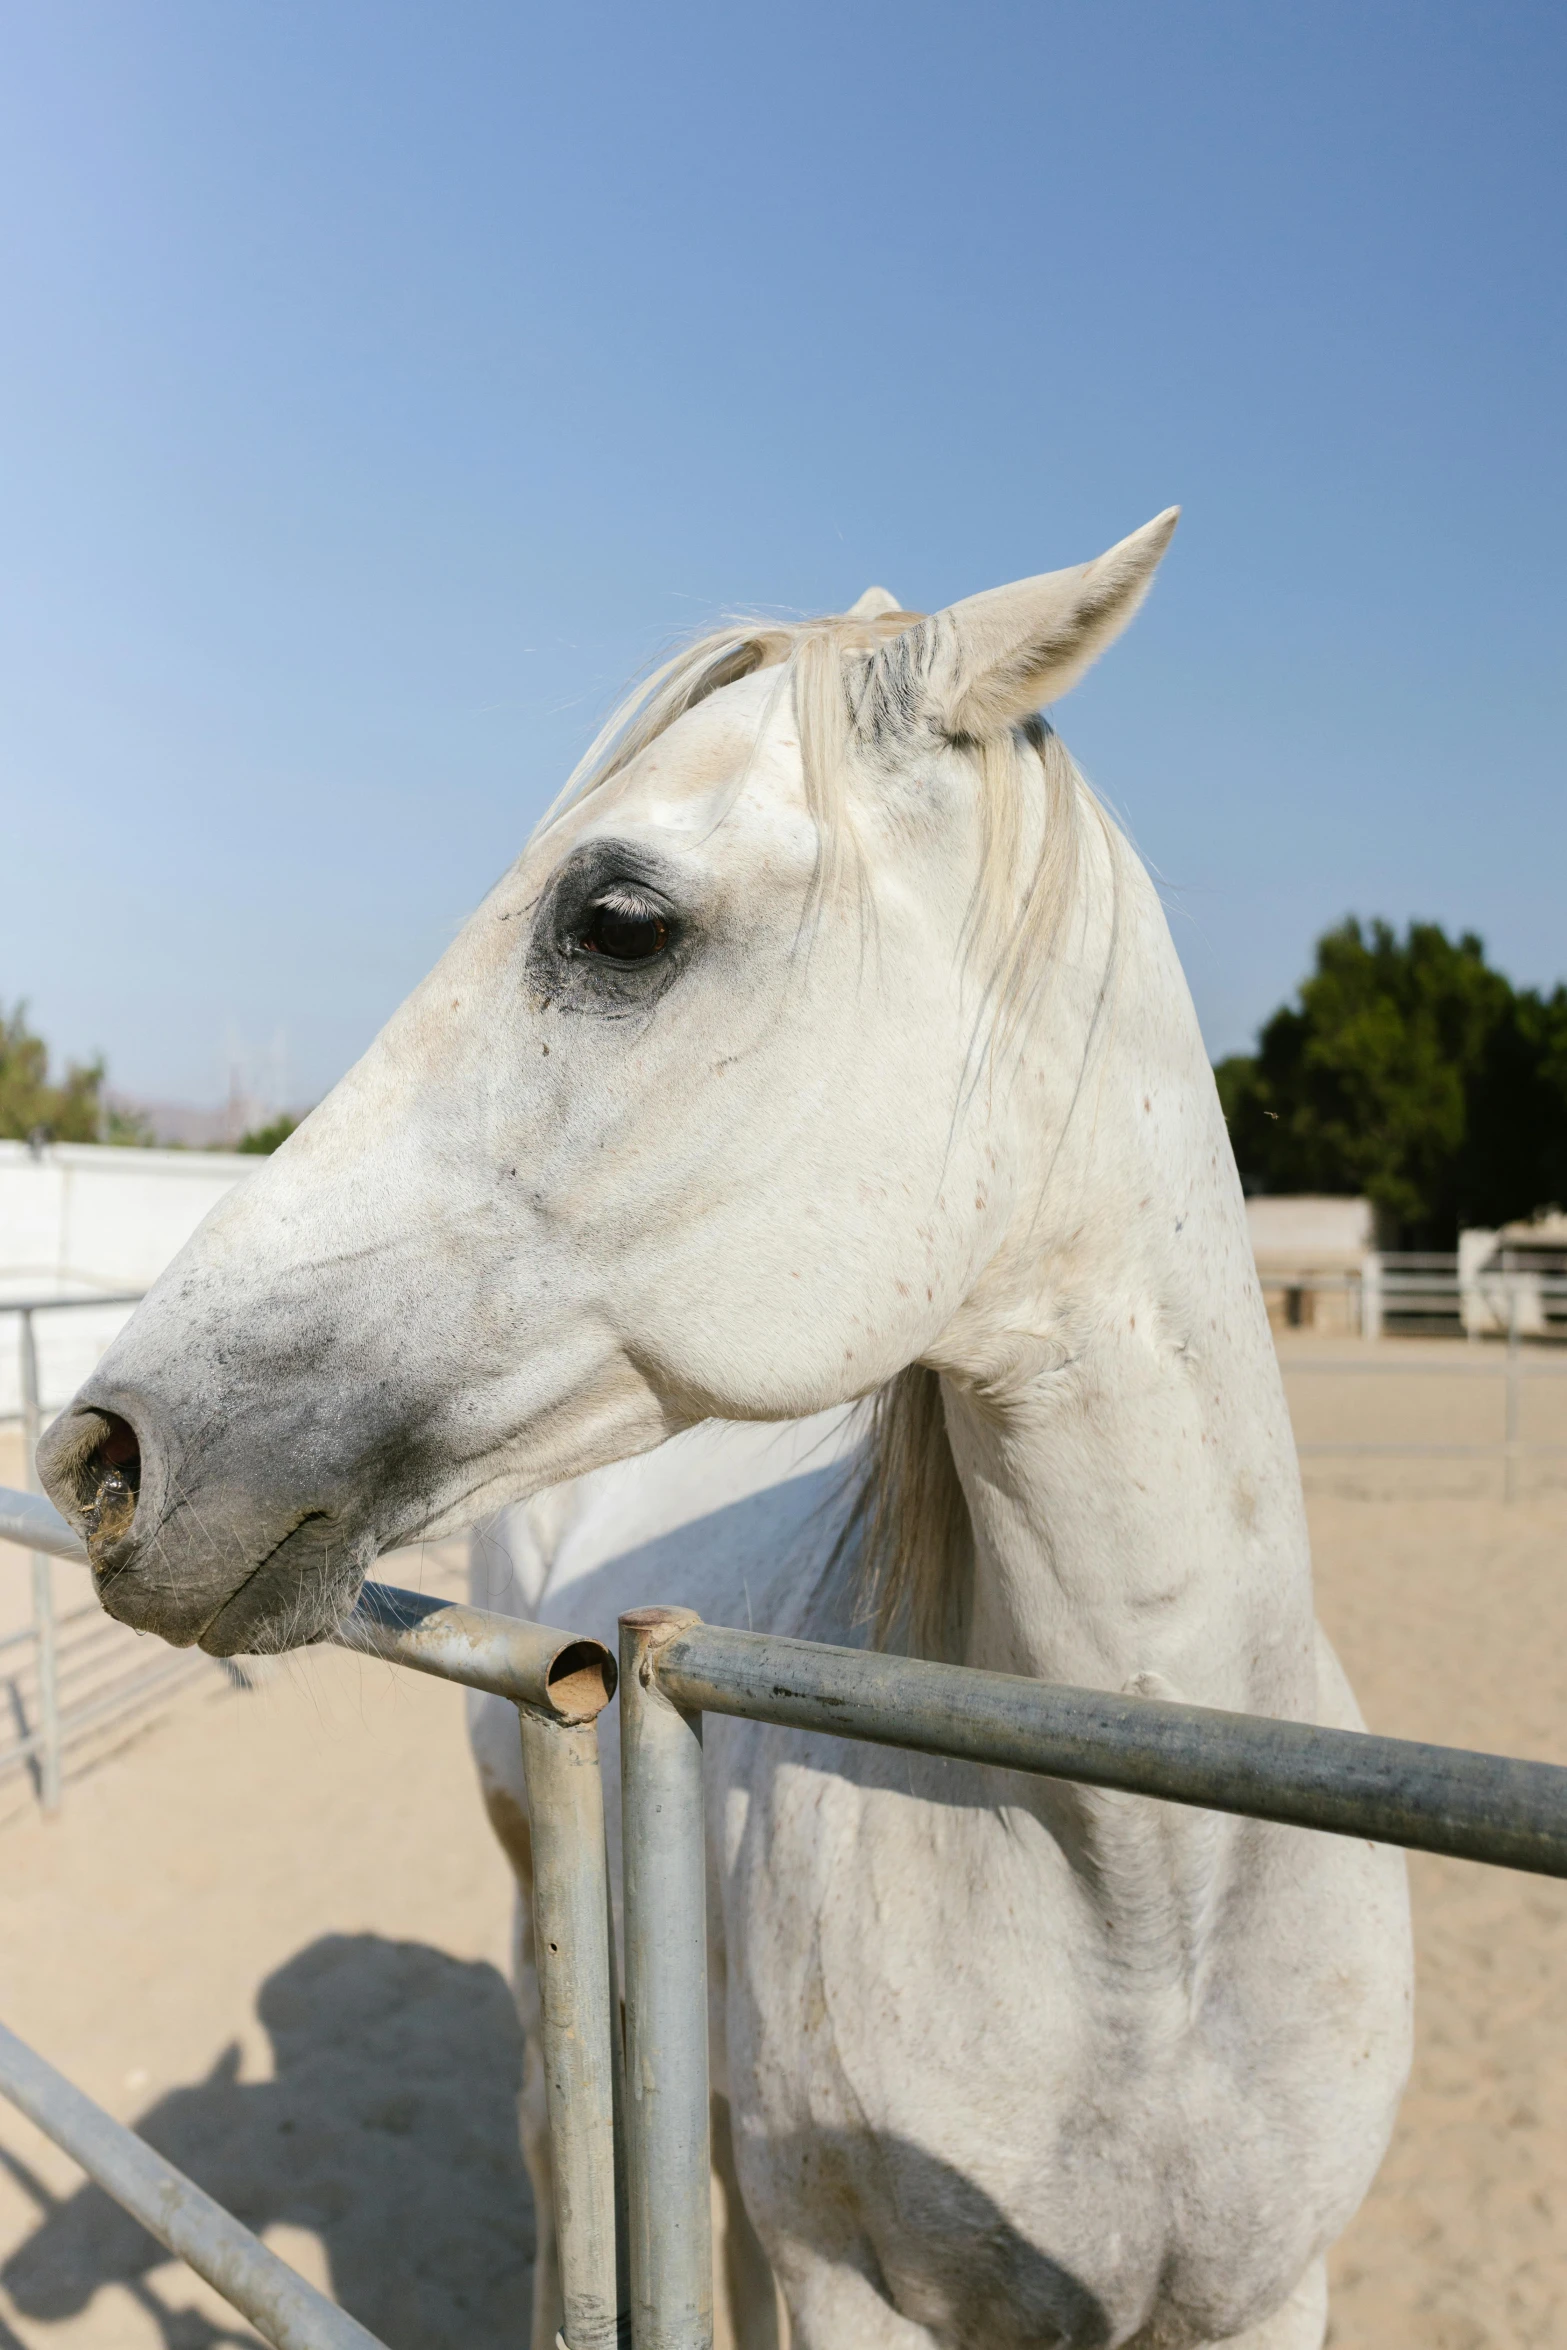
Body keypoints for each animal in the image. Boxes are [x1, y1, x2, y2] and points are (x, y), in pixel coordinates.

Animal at [36, 514, 1418, 2350]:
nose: (102, 1455)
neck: (1149, 1881)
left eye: (619, 921)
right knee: (559, 2133)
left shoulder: (1267, 2294)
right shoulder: (857, 2280)